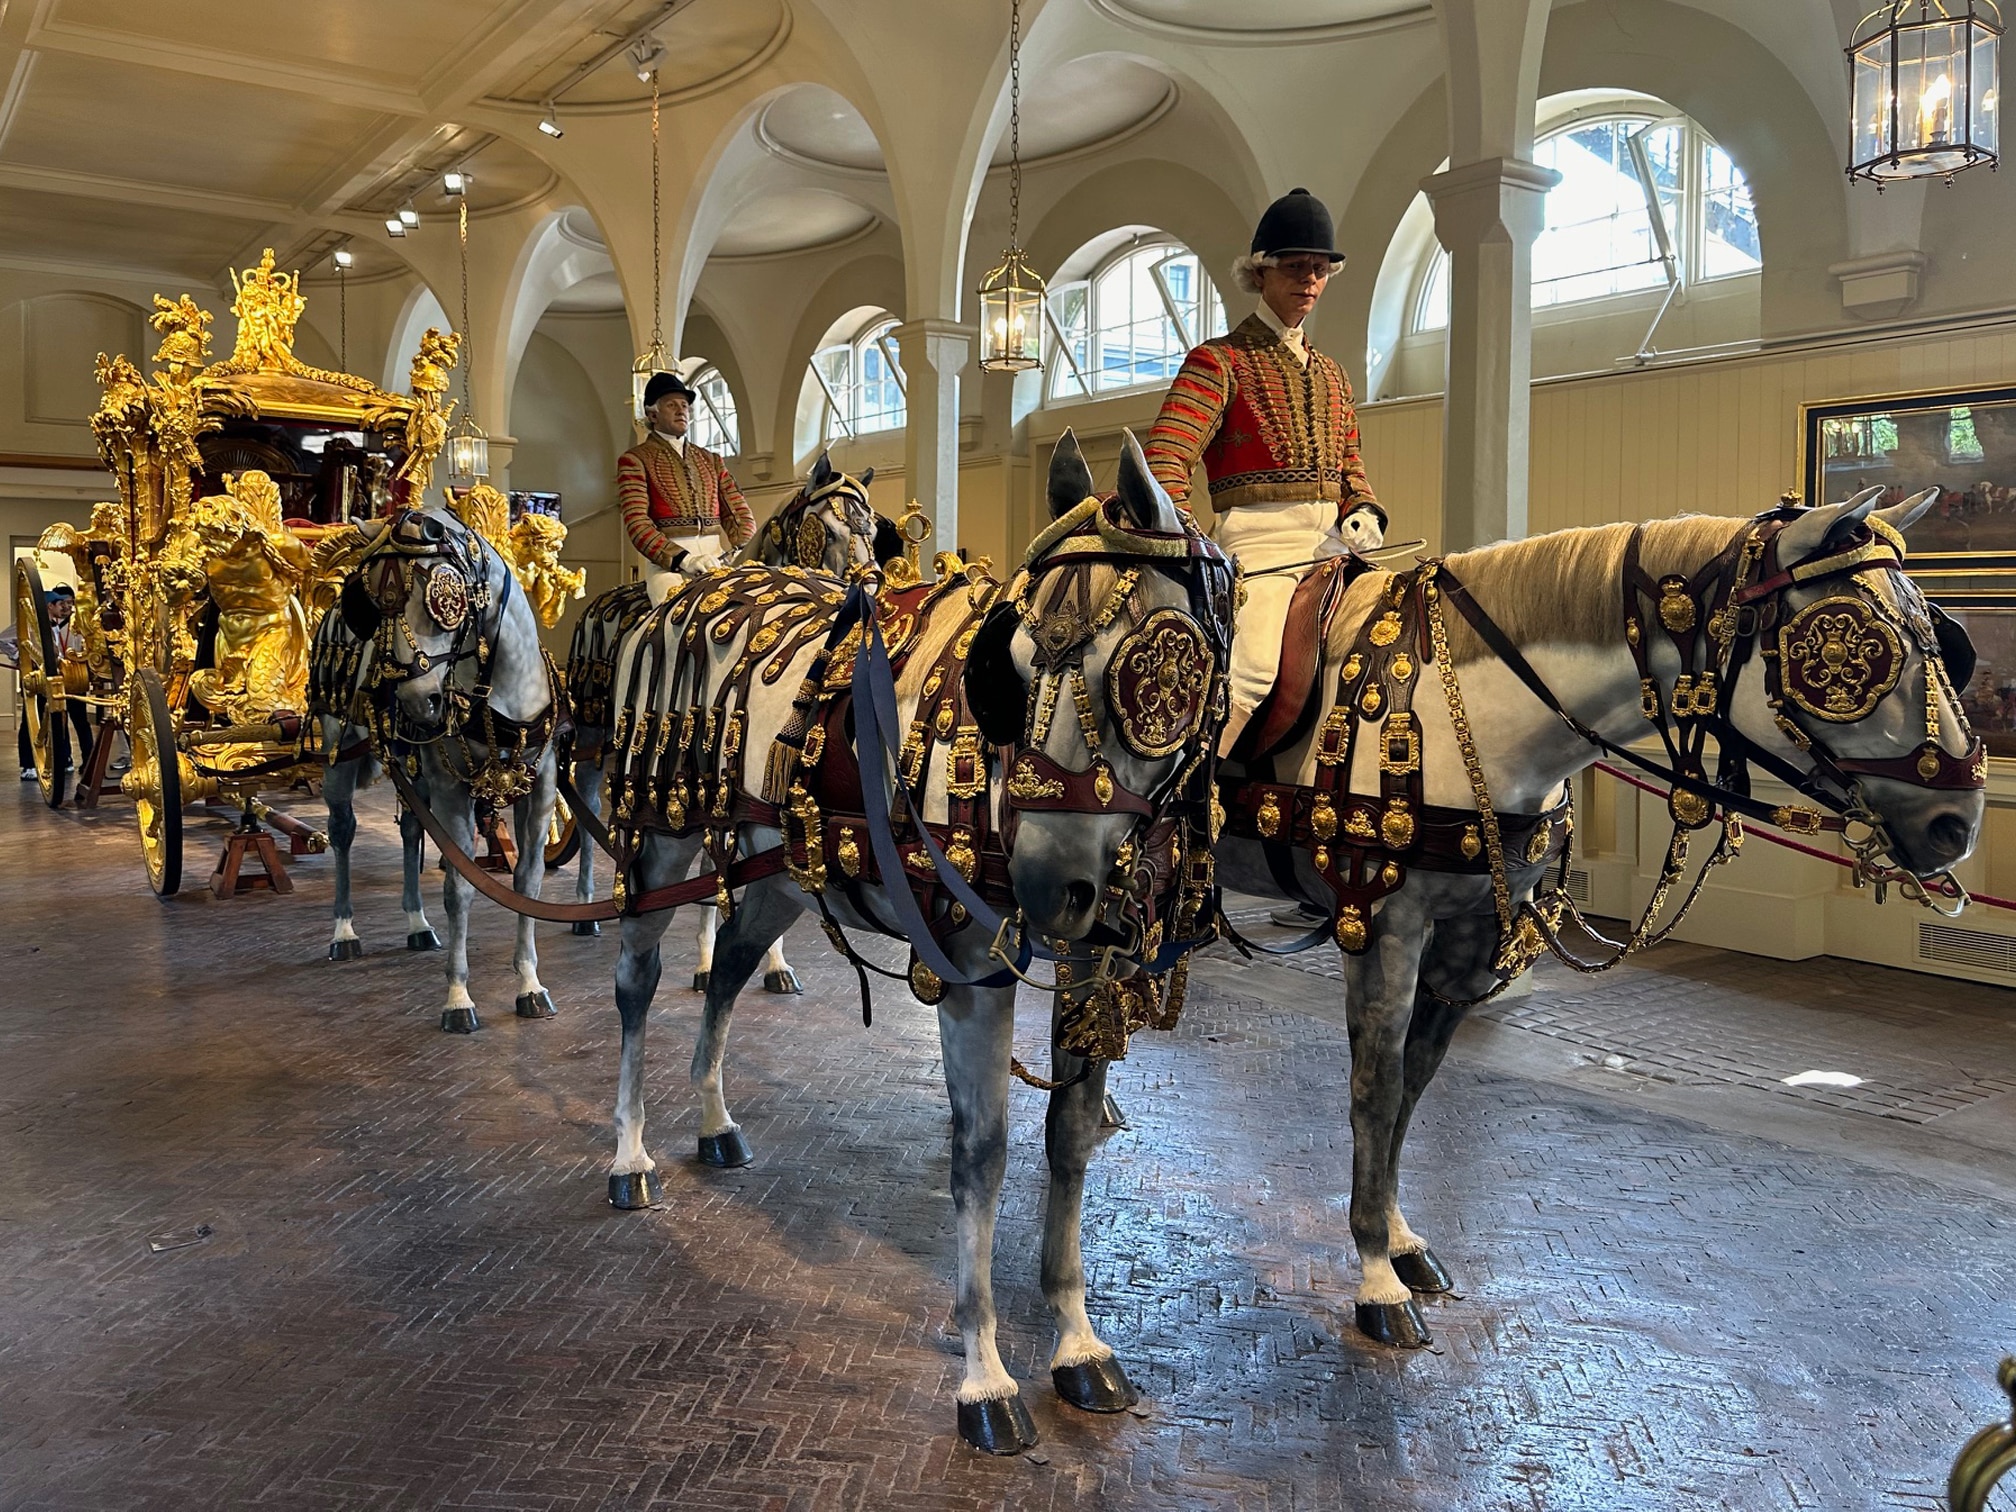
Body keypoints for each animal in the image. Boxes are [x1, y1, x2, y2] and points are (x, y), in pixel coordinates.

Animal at [588, 435, 1233, 1459]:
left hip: (779, 871)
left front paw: (1077, 1338)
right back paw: (630, 1155)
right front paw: (984, 1373)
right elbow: (984, 1155)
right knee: (637, 982)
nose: (1048, 892)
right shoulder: (973, 970)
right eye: (1011, 667)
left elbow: (1069, 1138)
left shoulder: (1091, 964)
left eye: (1142, 673)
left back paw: (714, 1119)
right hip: (661, 835)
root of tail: (690, 592)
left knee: (728, 970)